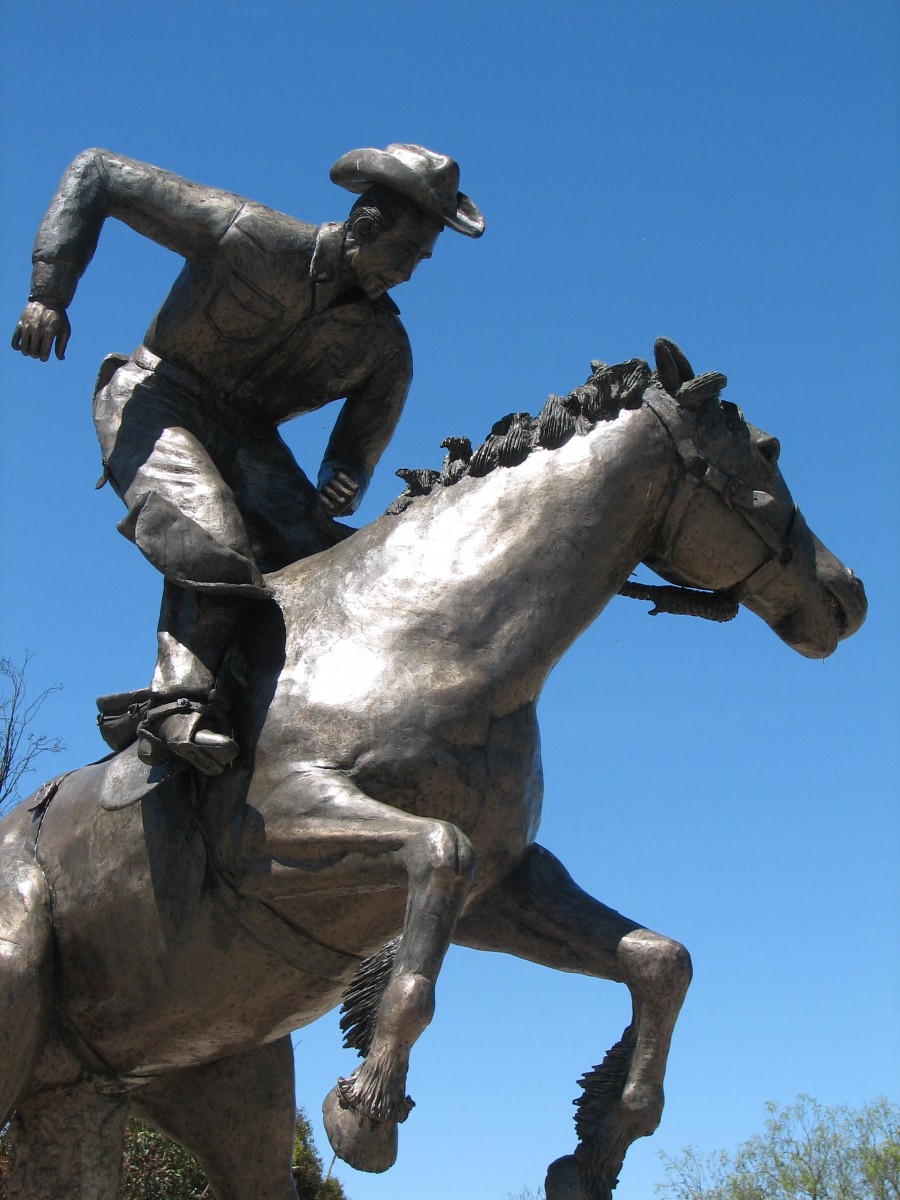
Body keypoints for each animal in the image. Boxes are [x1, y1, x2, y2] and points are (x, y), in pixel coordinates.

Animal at [0, 340, 868, 1200]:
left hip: (152, 1094)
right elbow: (438, 868)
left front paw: (596, 1147)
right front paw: (367, 1113)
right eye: (766, 454)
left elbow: (659, 960)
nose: (848, 596)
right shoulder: (277, 827)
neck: (422, 638)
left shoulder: (505, 884)